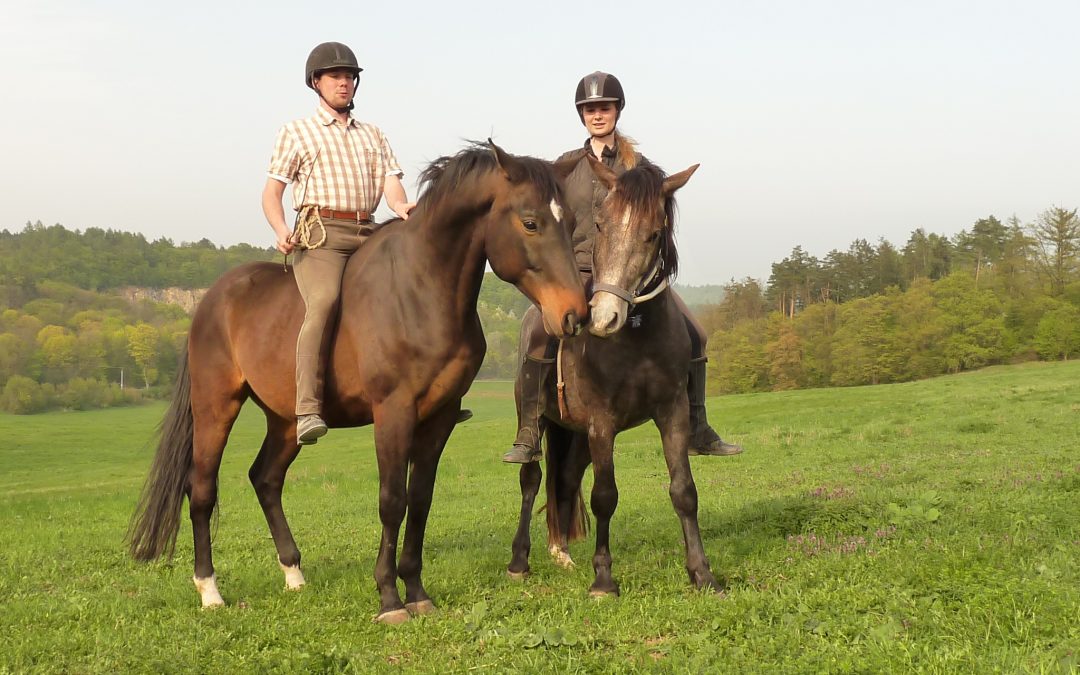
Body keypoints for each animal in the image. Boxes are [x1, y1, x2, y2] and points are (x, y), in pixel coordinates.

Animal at [130, 140, 596, 622]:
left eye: (572, 222)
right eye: (530, 222)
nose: (574, 315)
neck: (420, 291)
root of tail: (212, 300)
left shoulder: (439, 417)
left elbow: (420, 500)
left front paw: (417, 591)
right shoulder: (393, 412)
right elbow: (392, 501)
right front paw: (390, 598)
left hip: (286, 420)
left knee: (266, 479)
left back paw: (293, 575)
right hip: (215, 406)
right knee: (201, 489)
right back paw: (210, 590)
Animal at [507, 156, 725, 596]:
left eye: (653, 233)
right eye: (601, 225)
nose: (604, 318)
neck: (635, 337)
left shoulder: (672, 414)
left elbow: (684, 491)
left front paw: (702, 573)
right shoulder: (602, 423)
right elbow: (605, 495)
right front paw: (604, 580)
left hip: (574, 434)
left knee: (565, 479)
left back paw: (562, 553)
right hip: (539, 420)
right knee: (532, 478)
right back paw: (520, 560)